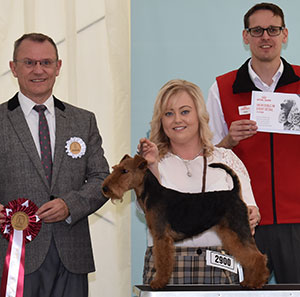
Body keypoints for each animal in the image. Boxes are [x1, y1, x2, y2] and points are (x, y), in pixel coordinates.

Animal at [102, 154, 268, 288]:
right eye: (115, 168)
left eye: (124, 171)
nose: (105, 188)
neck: (152, 194)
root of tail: (234, 192)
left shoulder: (161, 237)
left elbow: (162, 262)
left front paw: (158, 283)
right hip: (231, 234)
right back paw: (249, 281)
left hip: (239, 230)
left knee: (258, 256)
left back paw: (256, 282)